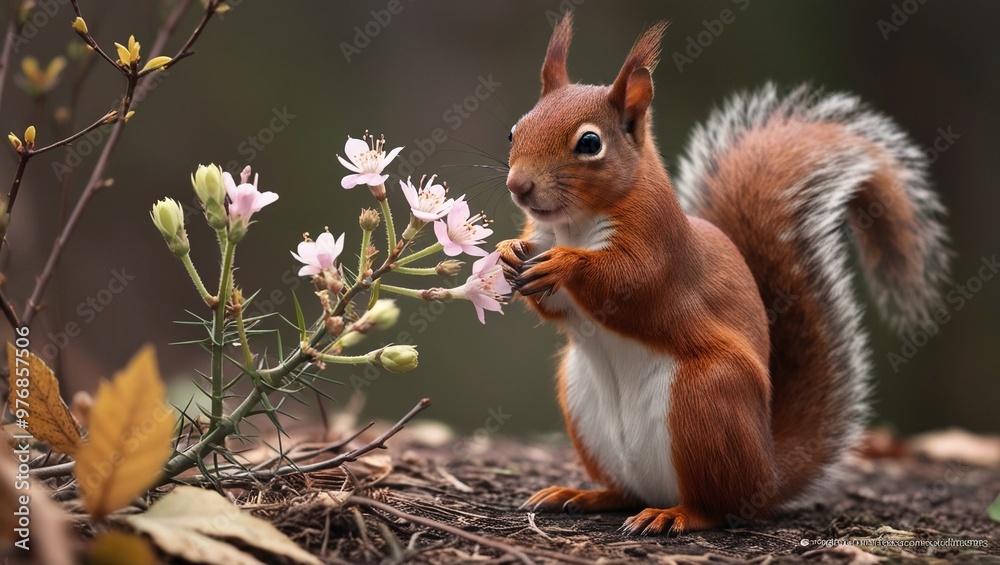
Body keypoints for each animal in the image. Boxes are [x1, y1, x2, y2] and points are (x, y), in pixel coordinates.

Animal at [497, 13, 950, 536]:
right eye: (514, 131)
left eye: (589, 143)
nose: (518, 186)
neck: (573, 224)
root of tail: (769, 475)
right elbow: (553, 300)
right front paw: (507, 252)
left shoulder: (661, 246)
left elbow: (629, 282)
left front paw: (564, 264)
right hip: (583, 403)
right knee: (626, 491)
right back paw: (582, 494)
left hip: (707, 399)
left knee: (714, 505)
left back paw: (674, 515)